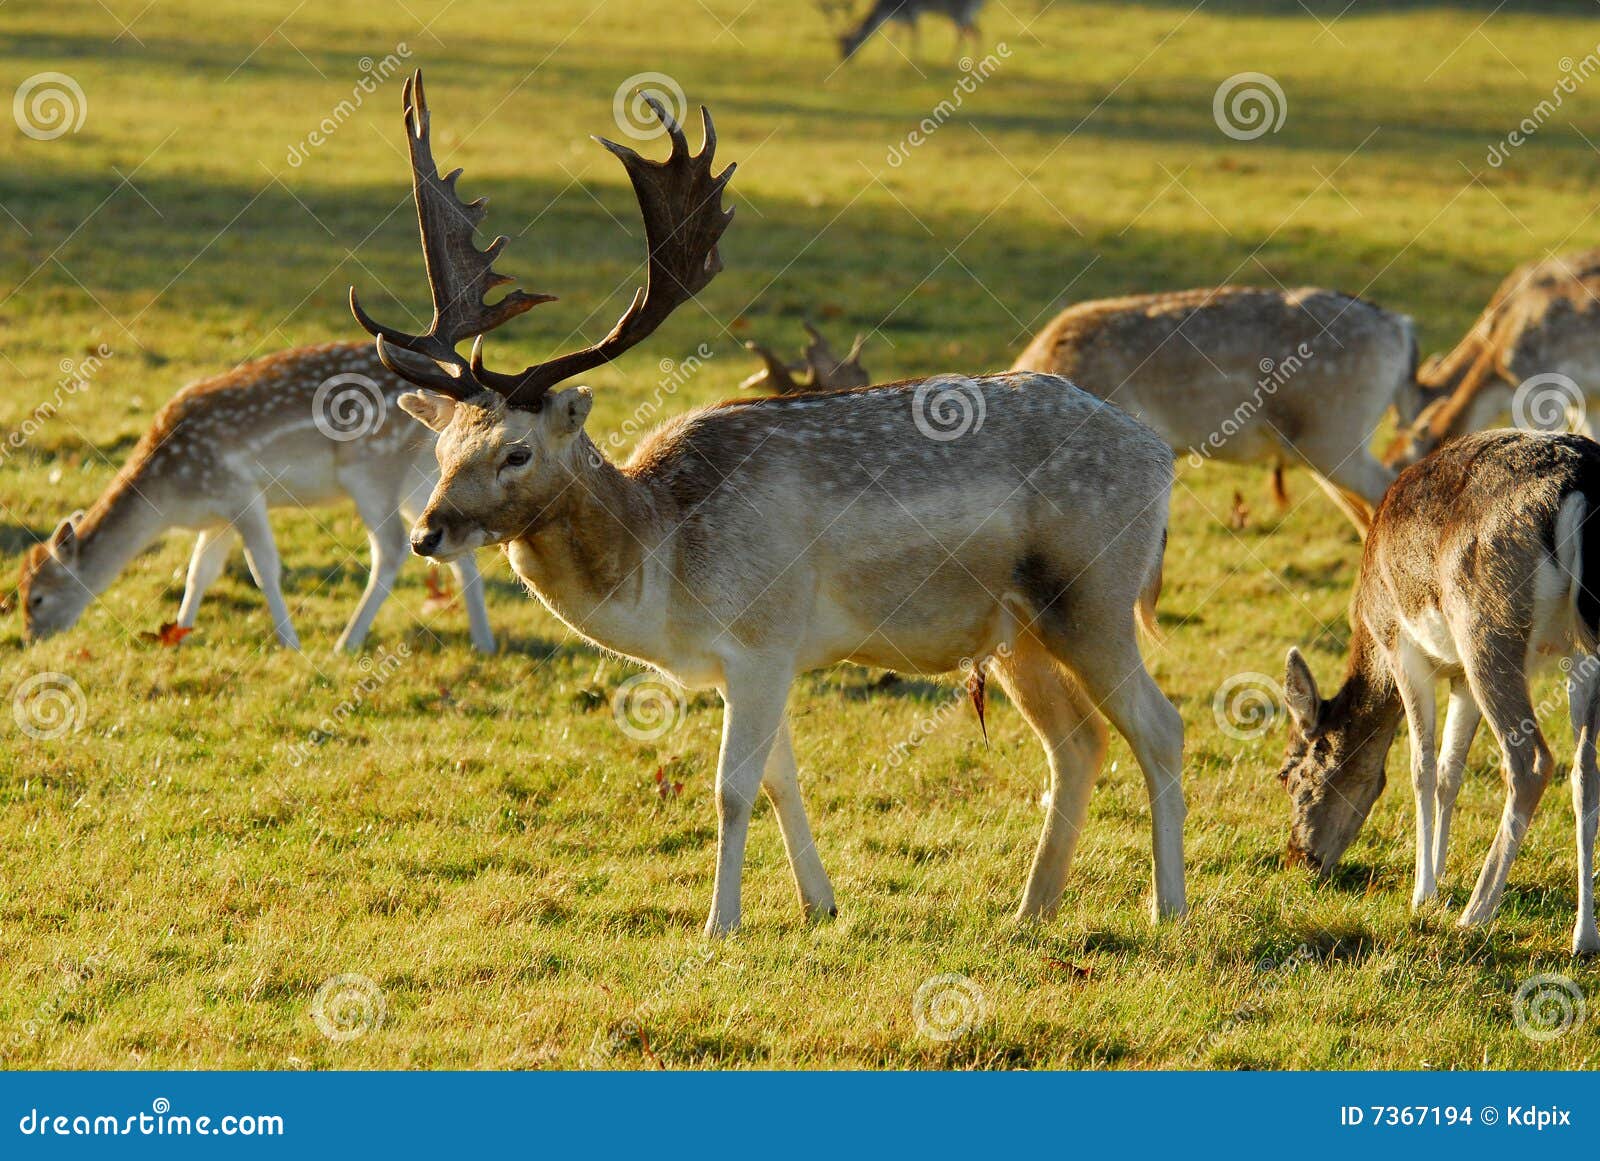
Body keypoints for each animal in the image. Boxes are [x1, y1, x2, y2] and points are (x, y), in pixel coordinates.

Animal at [18, 342, 495, 654]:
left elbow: (264, 568)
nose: (32, 639)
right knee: (456, 546)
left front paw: (290, 643)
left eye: (37, 596)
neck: (171, 497)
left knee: (391, 548)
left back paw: (346, 642)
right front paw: (176, 635)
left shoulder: (241, 493)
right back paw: (483, 642)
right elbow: (199, 572)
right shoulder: (216, 516)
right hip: (422, 477)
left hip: (372, 470)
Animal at [837, 0, 984, 62]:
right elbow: (895, 39)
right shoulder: (899, 20)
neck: (885, 10)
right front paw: (886, 61)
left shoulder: (913, 14)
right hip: (963, 15)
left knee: (966, 34)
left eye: (847, 44)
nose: (842, 60)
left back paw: (949, 61)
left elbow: (915, 37)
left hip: (958, 12)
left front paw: (916, 60)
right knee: (976, 33)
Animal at [1276, 429, 1600, 954]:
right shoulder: (1460, 677)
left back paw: (1477, 913)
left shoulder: (1402, 646)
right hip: (1584, 650)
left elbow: (1421, 768)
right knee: (1585, 772)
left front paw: (1422, 893)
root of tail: (1582, 485)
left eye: (1287, 775)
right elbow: (1451, 771)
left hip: (1484, 629)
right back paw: (1585, 935)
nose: (1299, 858)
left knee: (1532, 761)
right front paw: (1442, 872)